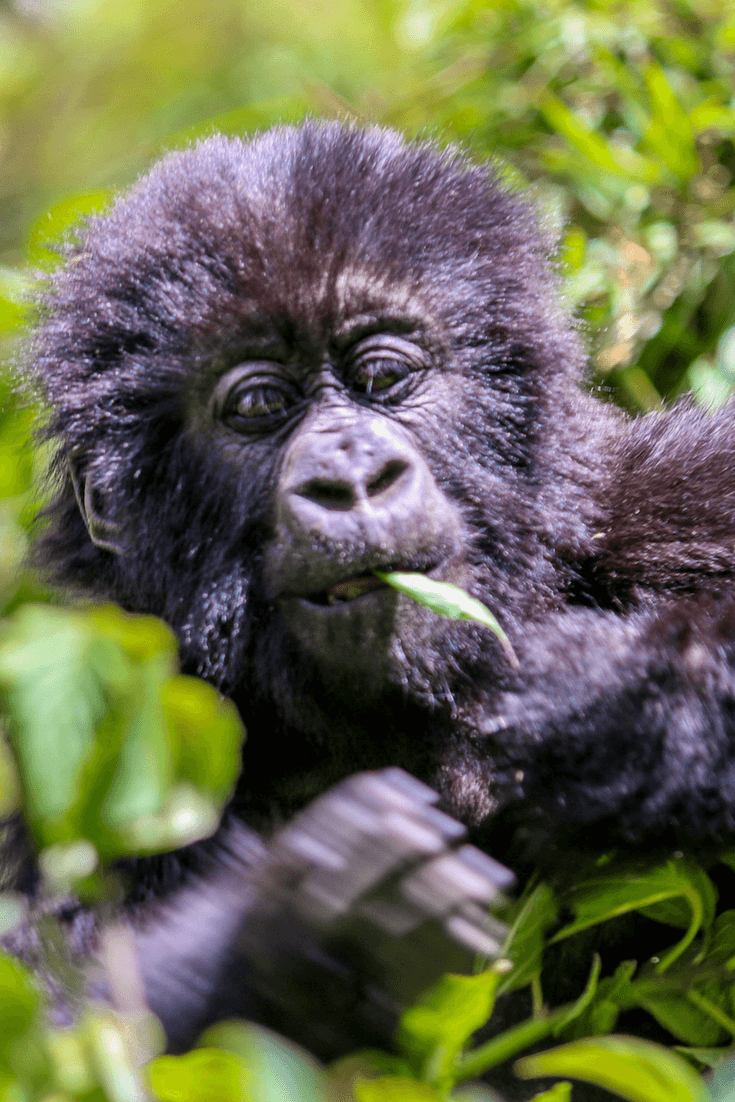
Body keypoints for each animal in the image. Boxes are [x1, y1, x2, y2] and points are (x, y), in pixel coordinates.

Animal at [15, 118, 735, 1084]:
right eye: (259, 404)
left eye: (384, 377)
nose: (353, 477)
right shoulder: (74, 788)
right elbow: (67, 1041)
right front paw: (322, 912)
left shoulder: (671, 502)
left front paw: (626, 711)